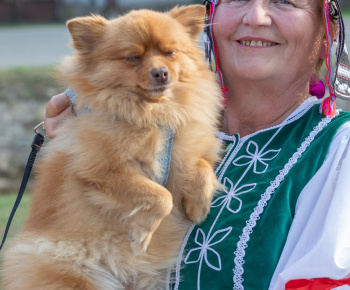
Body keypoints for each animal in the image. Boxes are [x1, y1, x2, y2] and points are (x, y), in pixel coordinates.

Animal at [2, 5, 220, 290]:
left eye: (170, 52)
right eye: (132, 57)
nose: (160, 72)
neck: (153, 115)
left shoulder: (185, 150)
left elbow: (202, 166)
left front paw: (198, 204)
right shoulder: (103, 171)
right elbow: (161, 196)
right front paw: (141, 234)